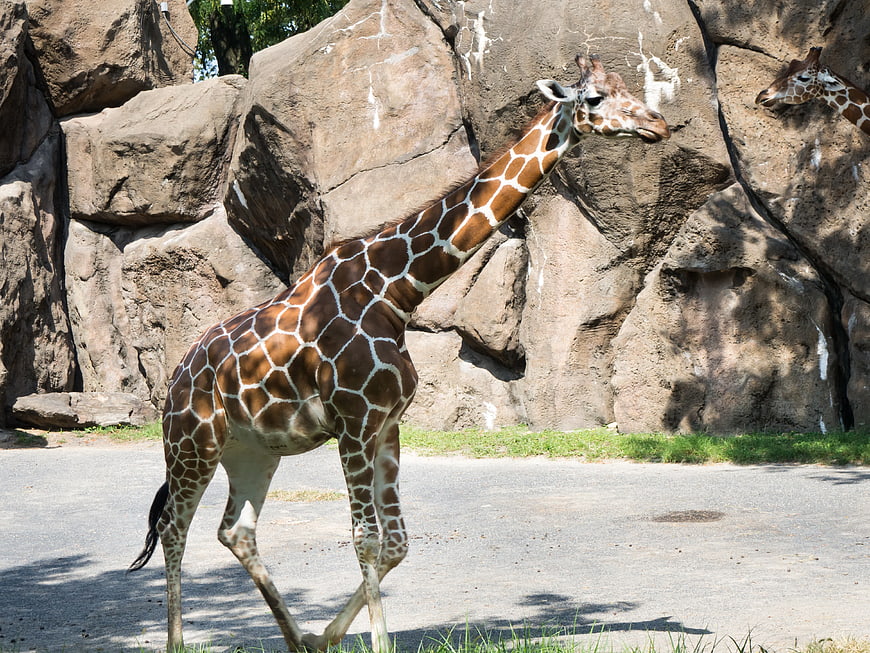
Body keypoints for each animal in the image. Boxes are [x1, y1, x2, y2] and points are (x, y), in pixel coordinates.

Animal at [129, 54, 670, 653]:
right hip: (191, 444)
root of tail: (175, 378)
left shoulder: (386, 424)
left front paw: (326, 635)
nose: (659, 125)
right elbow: (366, 539)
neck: (396, 291)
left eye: (629, 85)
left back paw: (299, 639)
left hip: (253, 450)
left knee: (236, 531)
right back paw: (179, 642)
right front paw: (370, 639)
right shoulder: (354, 423)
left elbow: (396, 543)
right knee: (173, 528)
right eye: (595, 99)